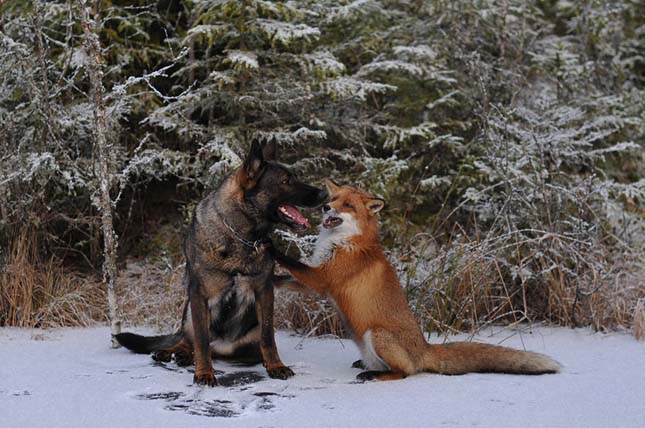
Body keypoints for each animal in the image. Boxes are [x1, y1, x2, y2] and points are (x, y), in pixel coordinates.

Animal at [114, 139, 328, 386]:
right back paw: (174, 353)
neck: (241, 237)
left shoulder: (264, 291)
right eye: (285, 181)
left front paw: (275, 366)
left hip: (246, 341)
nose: (324, 193)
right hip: (189, 313)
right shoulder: (199, 294)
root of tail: (222, 346)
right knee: (188, 341)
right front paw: (204, 372)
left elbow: (268, 337)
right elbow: (201, 340)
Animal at [272, 180, 560, 382]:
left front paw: (270, 247)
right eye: (333, 199)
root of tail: (424, 347)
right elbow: (286, 278)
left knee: (405, 372)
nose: (325, 207)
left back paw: (372, 375)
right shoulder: (315, 281)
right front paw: (271, 279)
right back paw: (366, 365)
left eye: (348, 206)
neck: (344, 243)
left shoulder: (323, 279)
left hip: (377, 334)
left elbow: (292, 263)